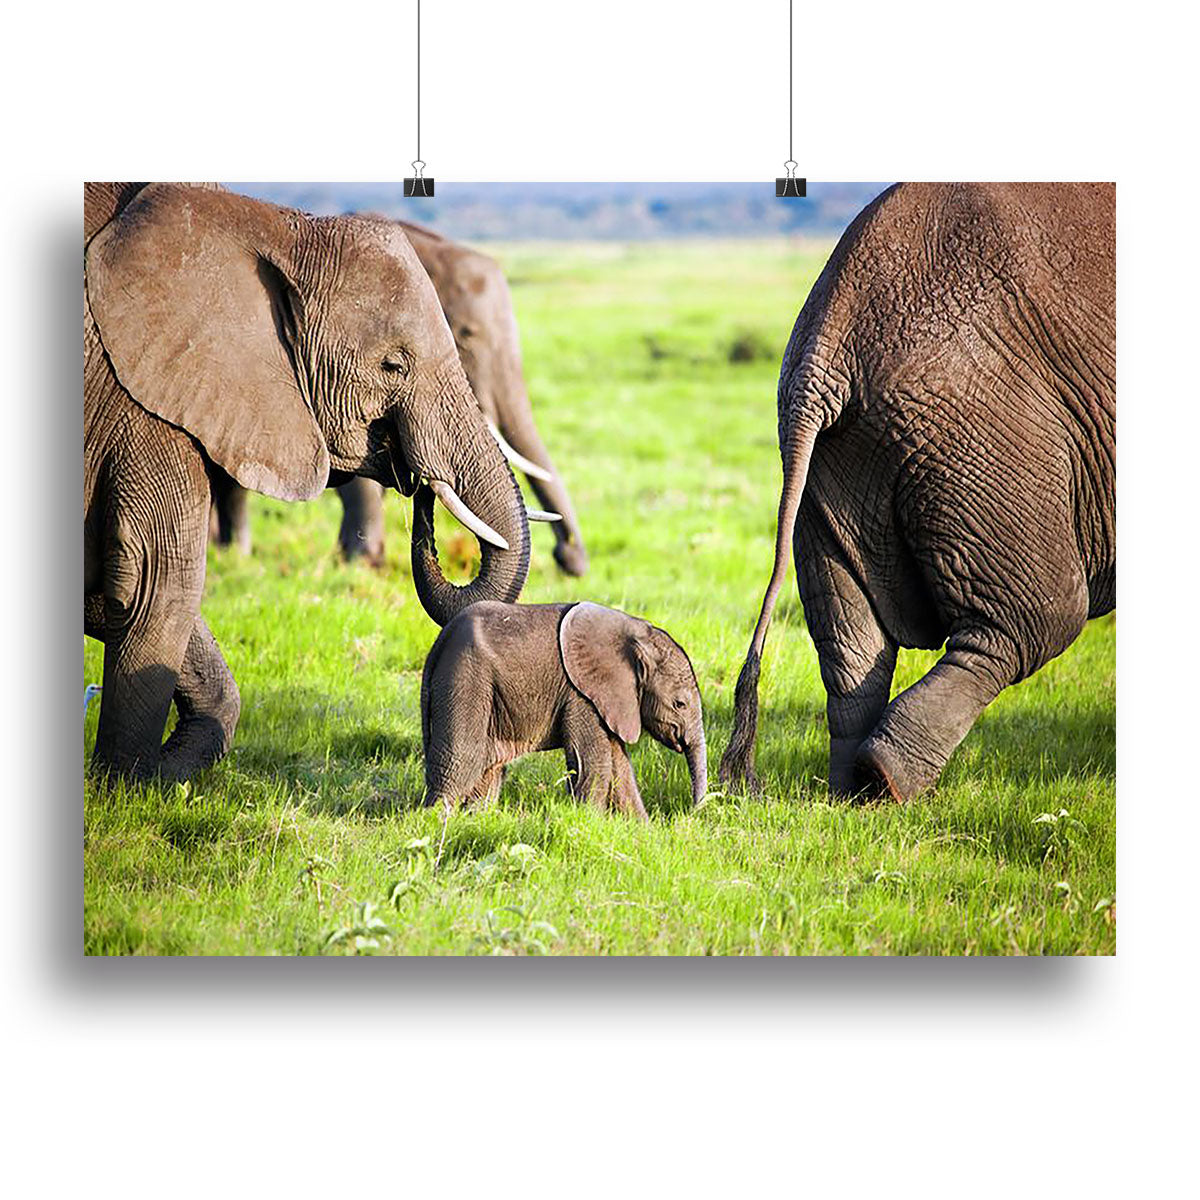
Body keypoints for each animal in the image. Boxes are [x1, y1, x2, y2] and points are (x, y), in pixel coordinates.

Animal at [85, 182, 533, 781]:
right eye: (394, 366)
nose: (421, 486)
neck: (272, 226)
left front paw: (157, 774)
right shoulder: (140, 397)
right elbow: (156, 579)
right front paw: (127, 787)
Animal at [420, 601, 707, 819]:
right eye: (679, 704)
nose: (691, 813)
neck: (636, 633)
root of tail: (440, 640)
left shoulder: (608, 700)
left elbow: (620, 766)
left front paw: (641, 831)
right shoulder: (581, 695)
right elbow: (594, 762)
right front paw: (590, 822)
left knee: (488, 768)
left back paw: (475, 820)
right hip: (465, 678)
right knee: (461, 759)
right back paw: (435, 822)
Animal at [719, 182, 1115, 802]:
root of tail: (829, 338)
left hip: (833, 464)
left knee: (852, 644)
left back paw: (852, 792)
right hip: (980, 430)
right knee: (1035, 617)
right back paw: (888, 781)